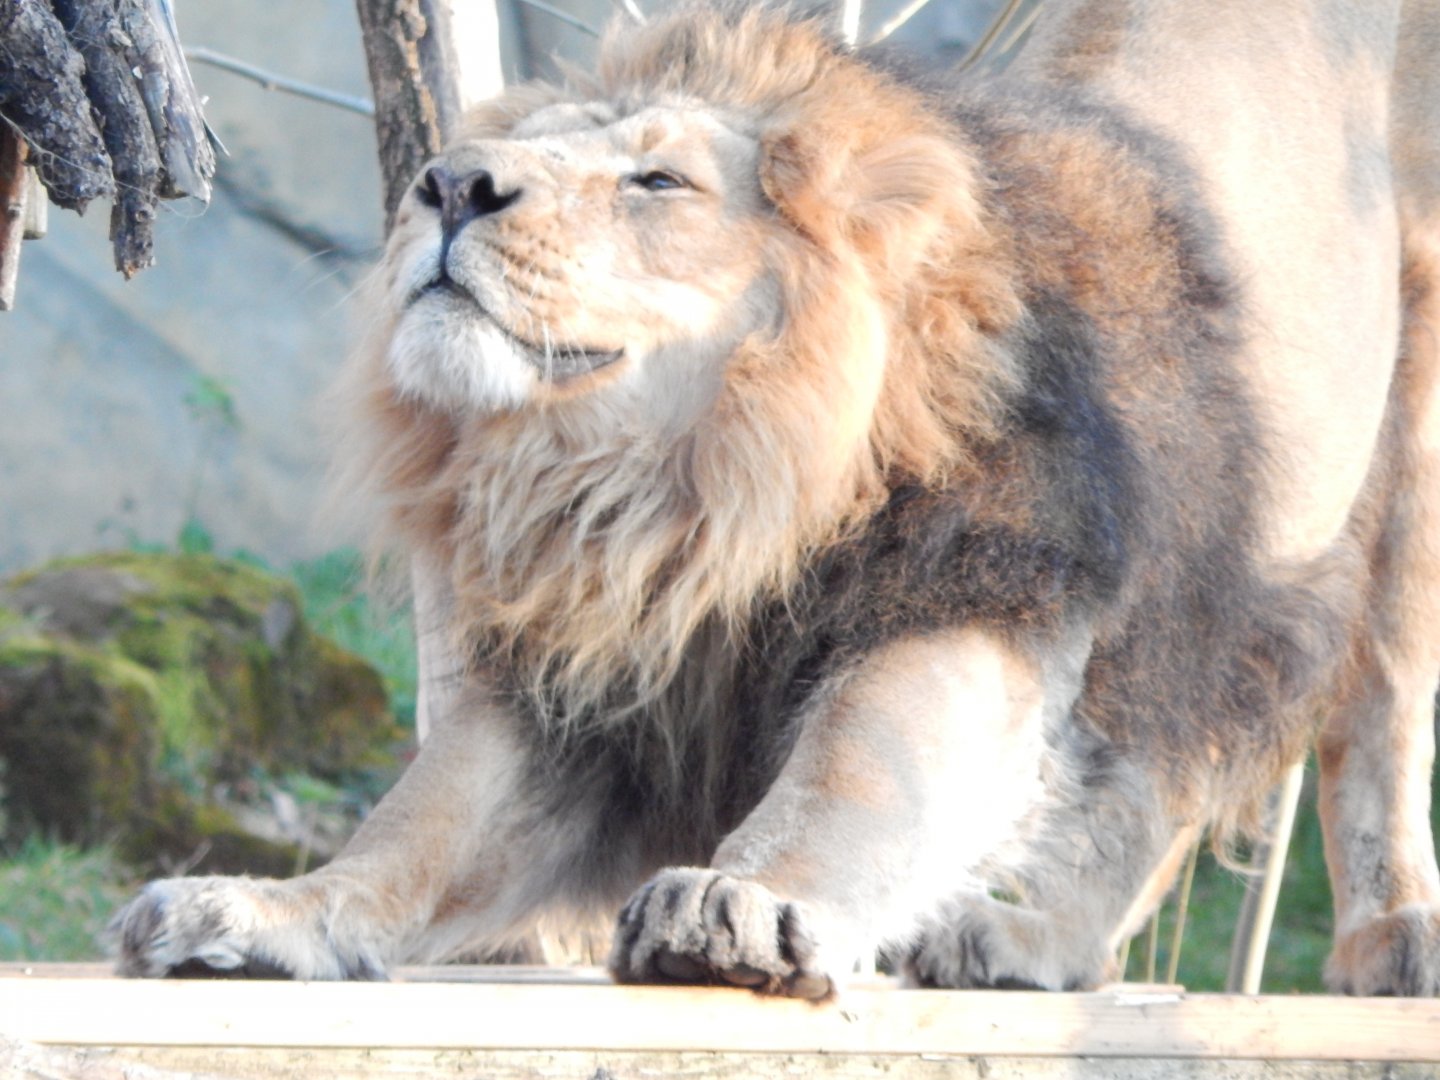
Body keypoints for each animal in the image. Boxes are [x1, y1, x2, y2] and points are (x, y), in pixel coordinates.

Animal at [113, 0, 1440, 997]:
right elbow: (419, 826)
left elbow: (856, 770)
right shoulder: (581, 677)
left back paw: (1388, 940)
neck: (686, 488)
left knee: (1373, 702)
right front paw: (266, 909)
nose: (447, 182)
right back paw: (1032, 946)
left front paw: (739, 902)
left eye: (657, 180)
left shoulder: (977, 579)